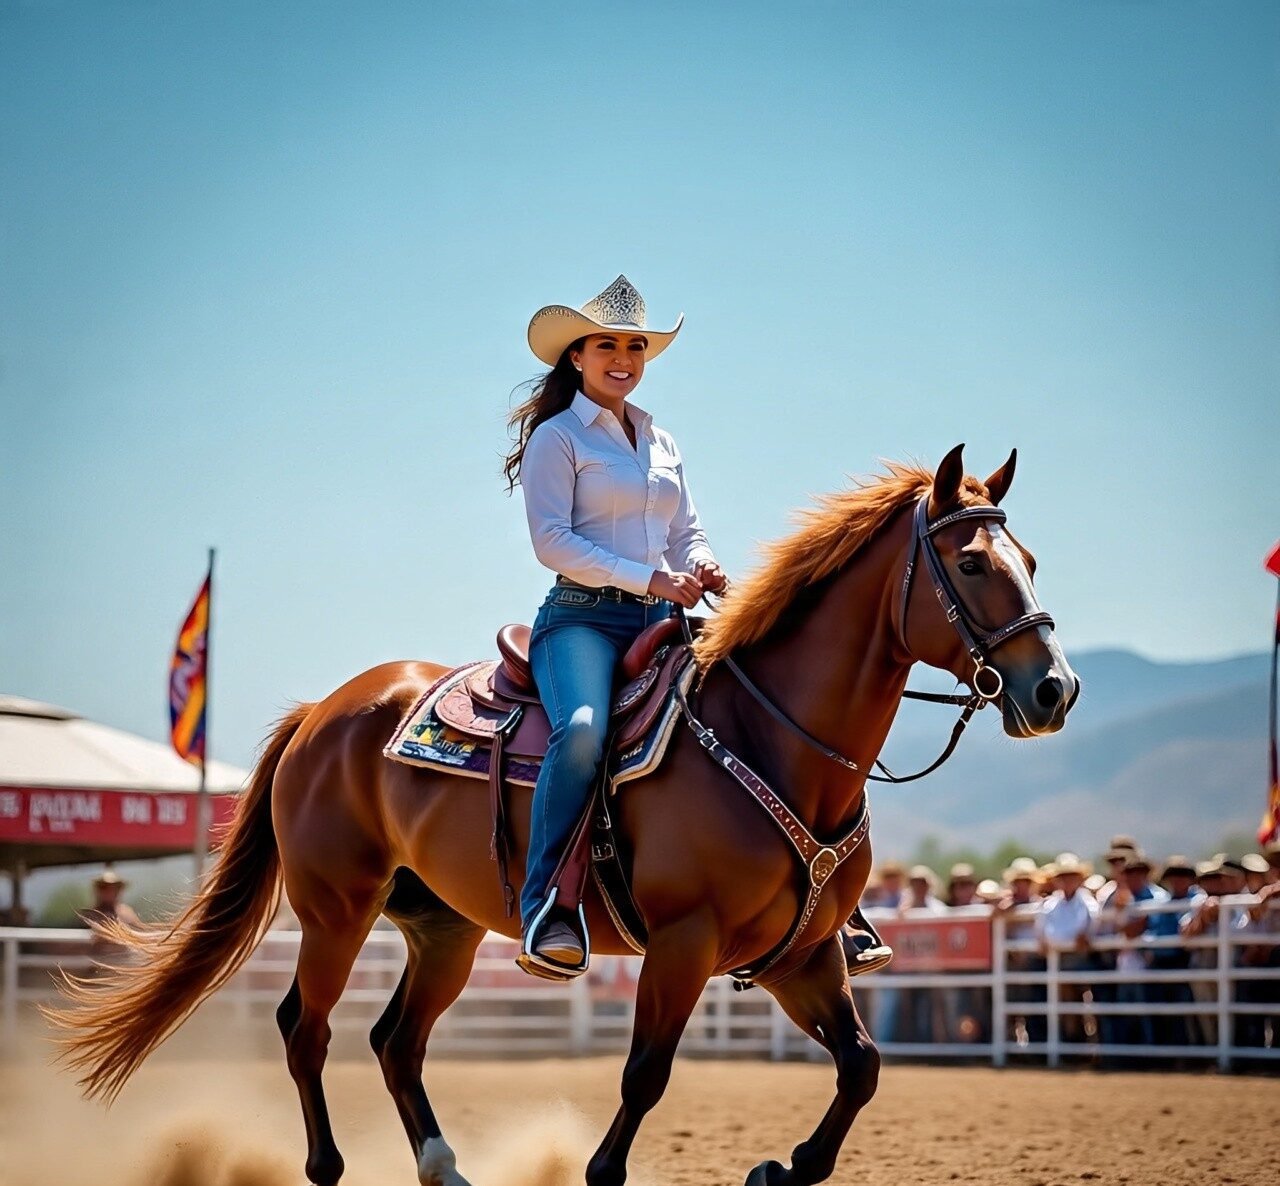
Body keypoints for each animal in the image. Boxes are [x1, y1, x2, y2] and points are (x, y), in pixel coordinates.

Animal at [49, 444, 1078, 1186]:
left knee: (395, 1041)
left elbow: (861, 1066)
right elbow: (645, 1073)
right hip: (336, 909)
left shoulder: (802, 952)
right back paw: (328, 1168)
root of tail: (324, 711)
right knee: (308, 1030)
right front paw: (606, 1170)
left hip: (443, 927)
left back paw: (445, 1171)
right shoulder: (685, 942)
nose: (1054, 690)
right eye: (973, 562)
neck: (769, 732)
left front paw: (782, 1170)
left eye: (1031, 559)